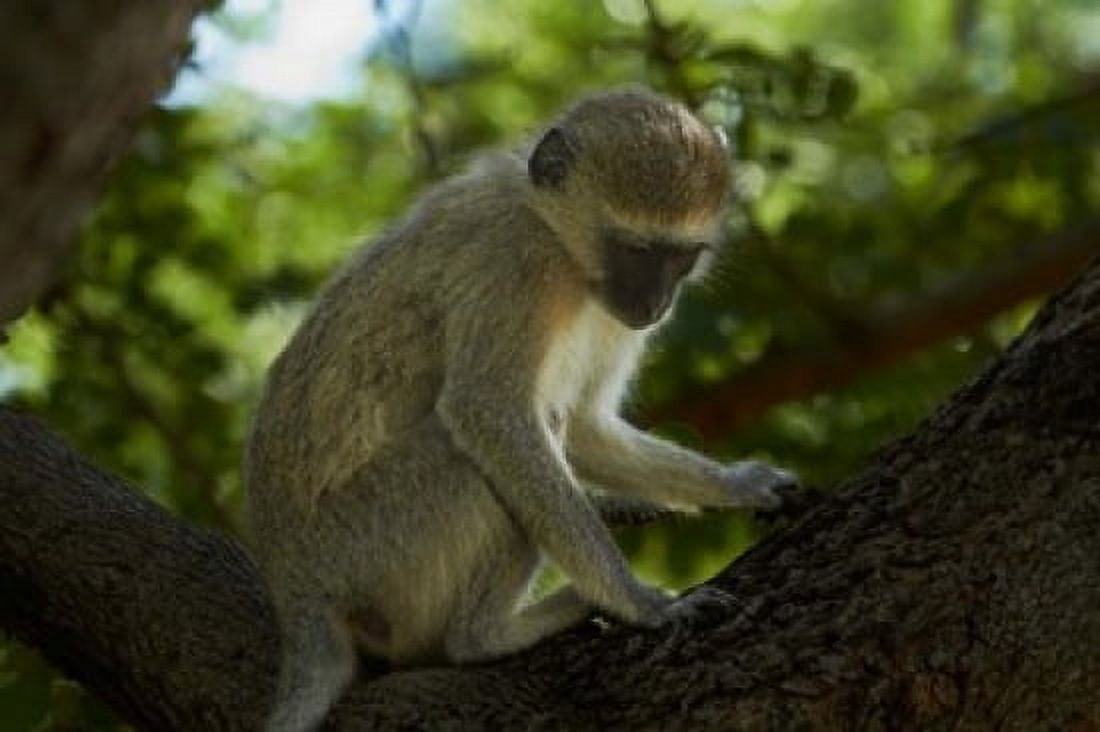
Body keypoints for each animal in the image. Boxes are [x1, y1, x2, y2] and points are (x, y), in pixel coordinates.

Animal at [245, 87, 796, 732]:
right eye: (635, 250)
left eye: (680, 257)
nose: (656, 304)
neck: (554, 233)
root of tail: (295, 591)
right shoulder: (516, 263)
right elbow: (489, 414)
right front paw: (639, 603)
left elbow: (583, 426)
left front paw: (739, 484)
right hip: (367, 549)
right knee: (469, 457)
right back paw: (486, 636)